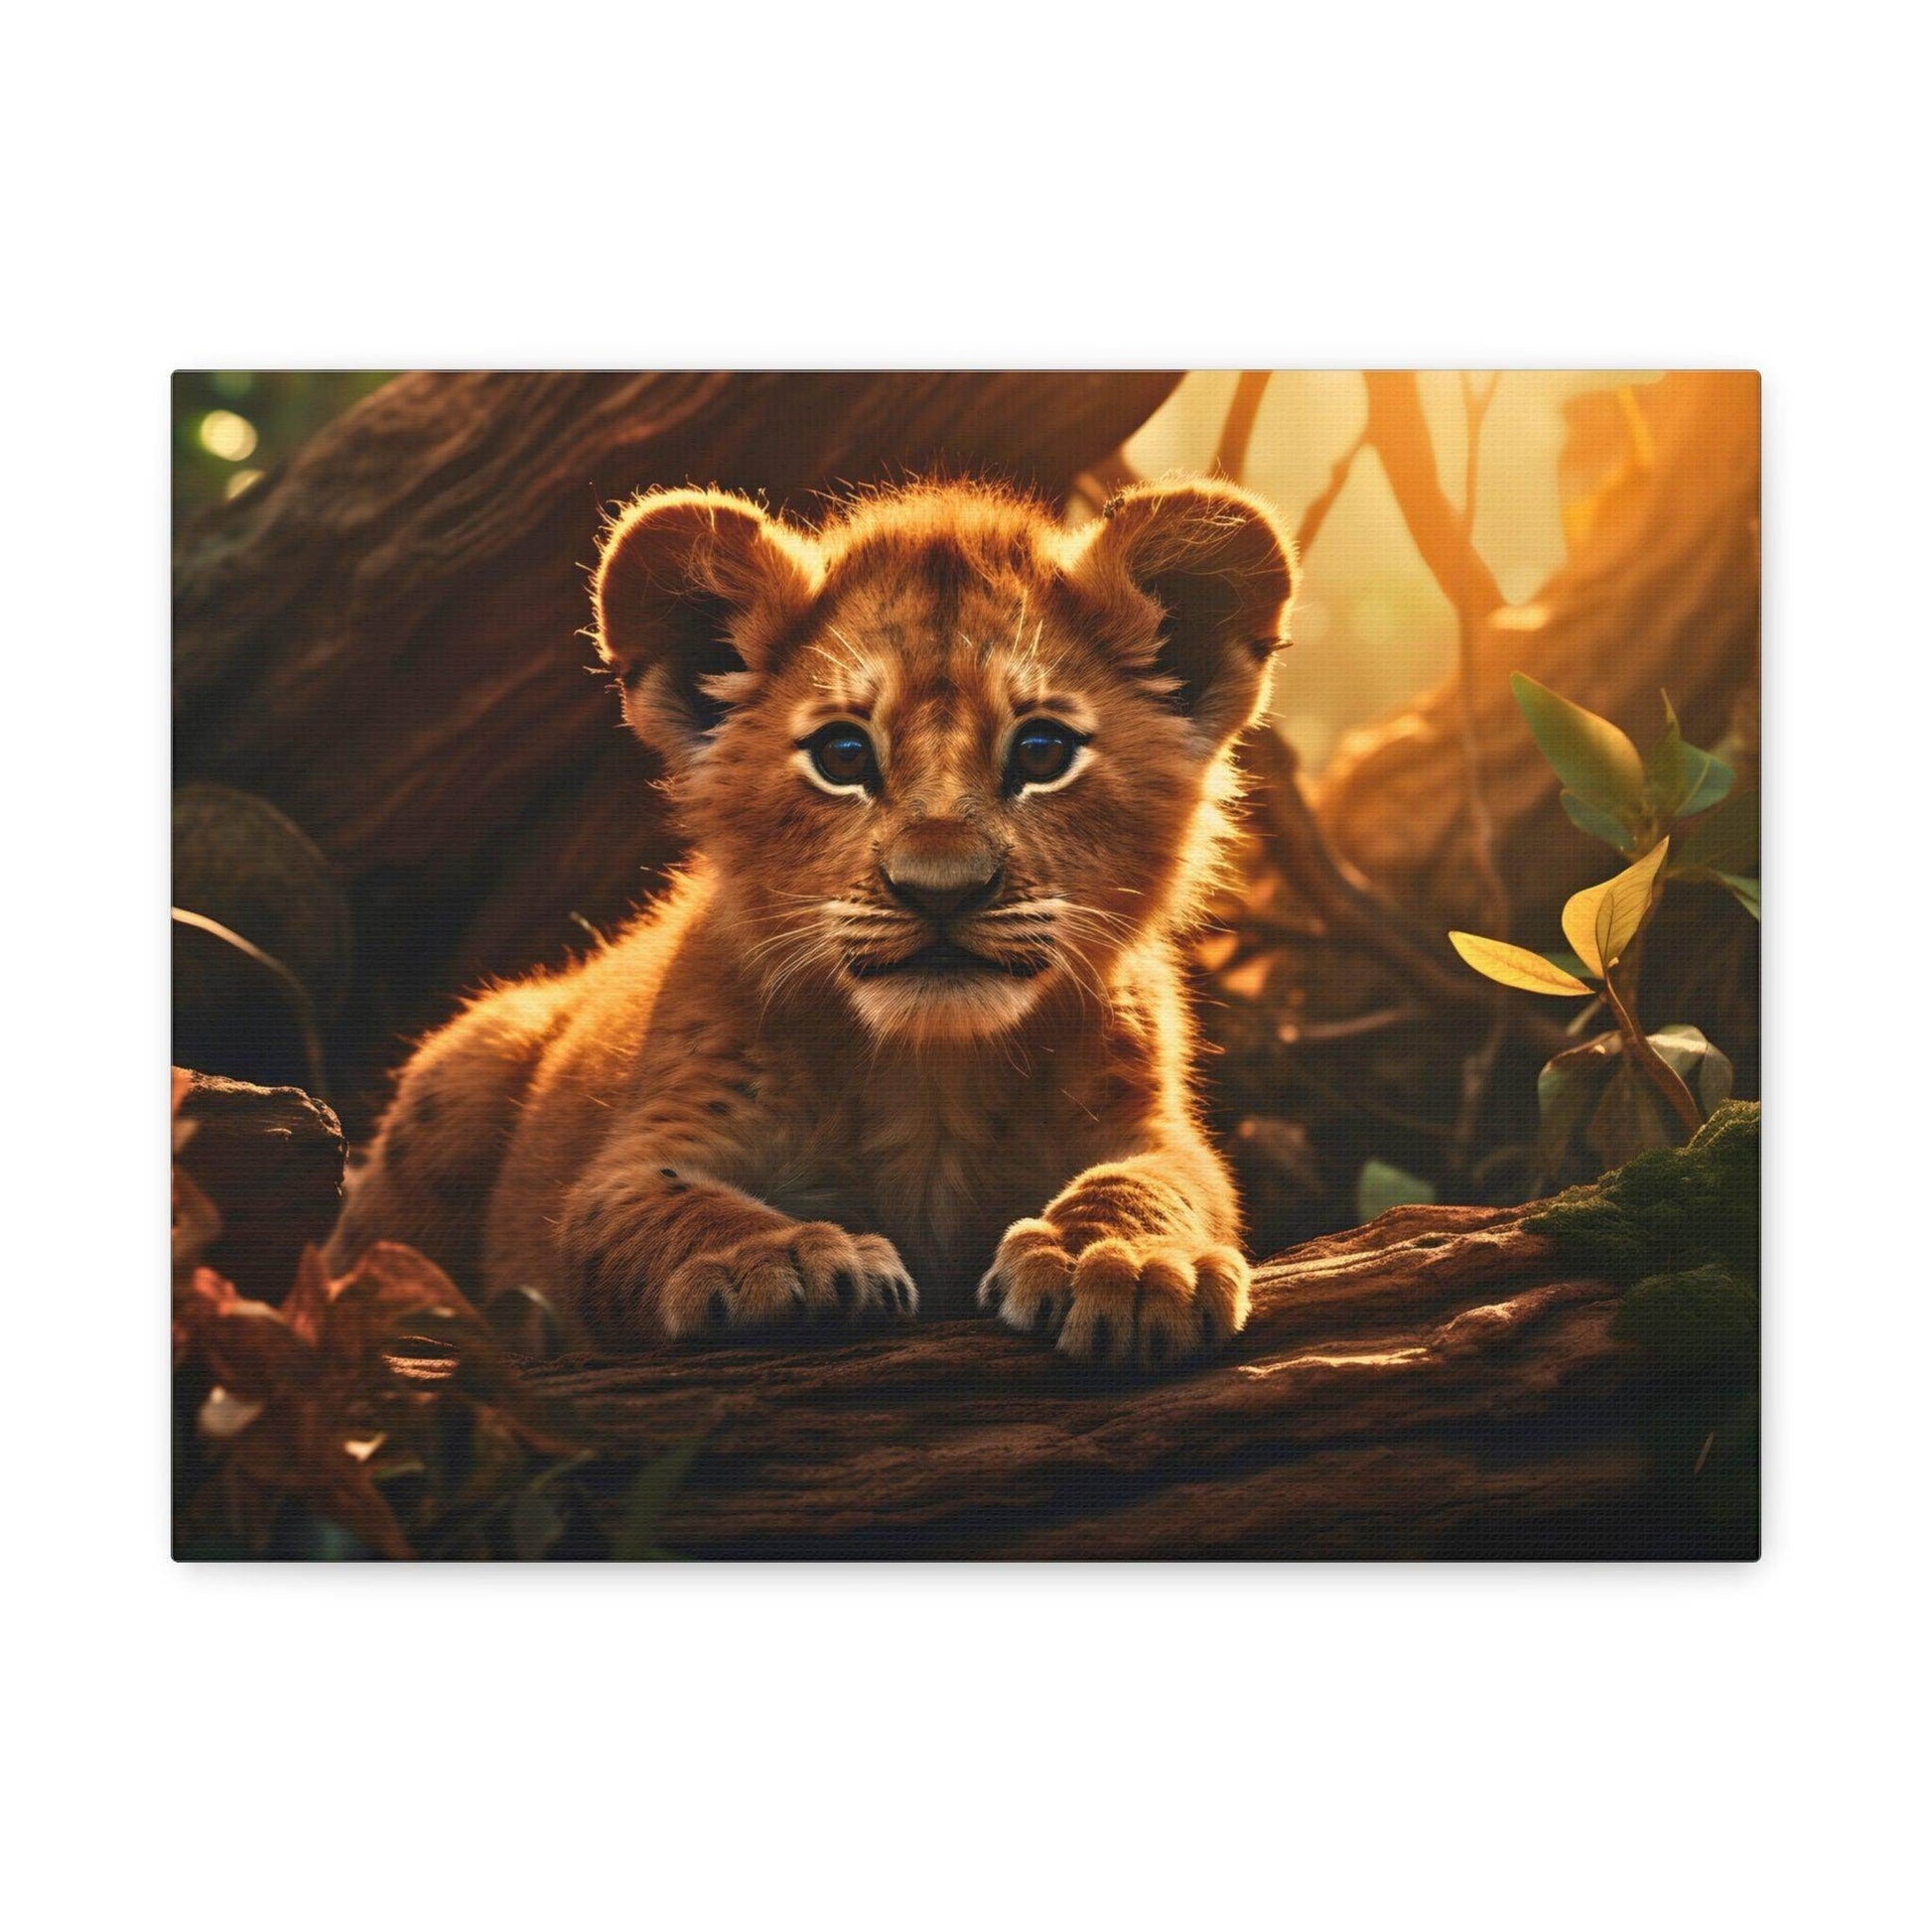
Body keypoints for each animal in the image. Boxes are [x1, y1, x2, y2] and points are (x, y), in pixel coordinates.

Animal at [326, 476, 1297, 1369]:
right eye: (842, 755)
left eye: (1042, 751)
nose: (940, 890)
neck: (932, 1077)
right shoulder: (641, 1152)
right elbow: (669, 1207)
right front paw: (778, 1261)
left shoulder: (1152, 1127)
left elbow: (1153, 1181)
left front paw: (1124, 1261)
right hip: (463, 1069)